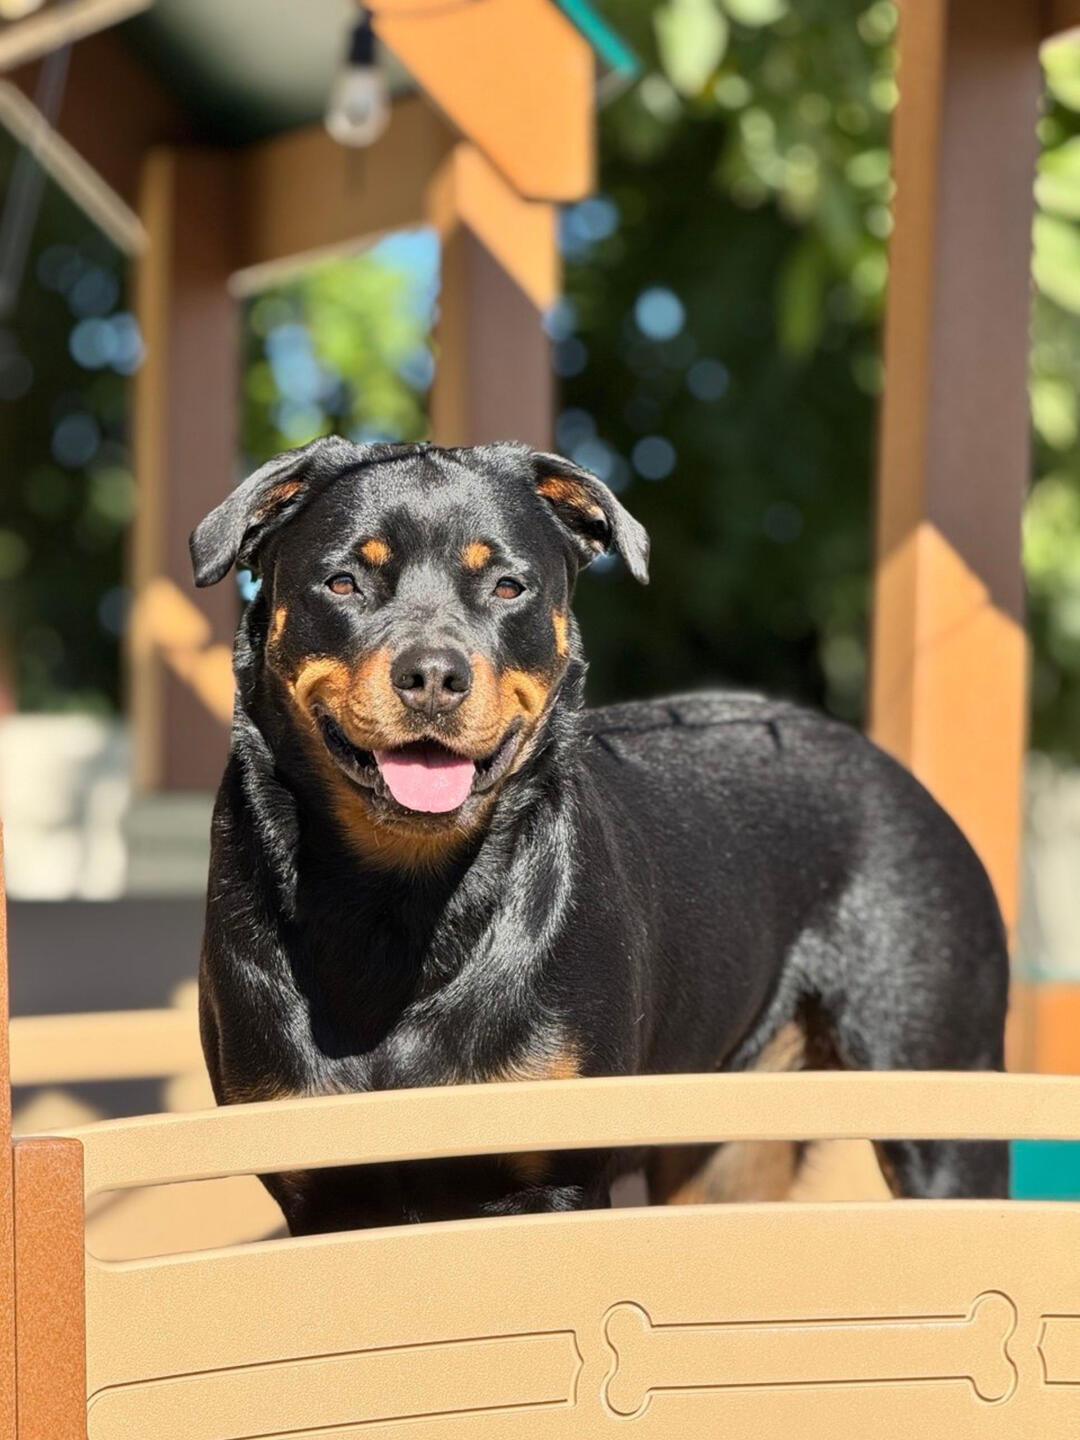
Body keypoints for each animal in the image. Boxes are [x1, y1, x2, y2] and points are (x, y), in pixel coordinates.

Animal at [190, 436, 1010, 1234]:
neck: (400, 901)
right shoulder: (322, 1197)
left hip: (941, 1104)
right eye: (343, 584)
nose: (433, 676)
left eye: (509, 587)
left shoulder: (559, 1181)